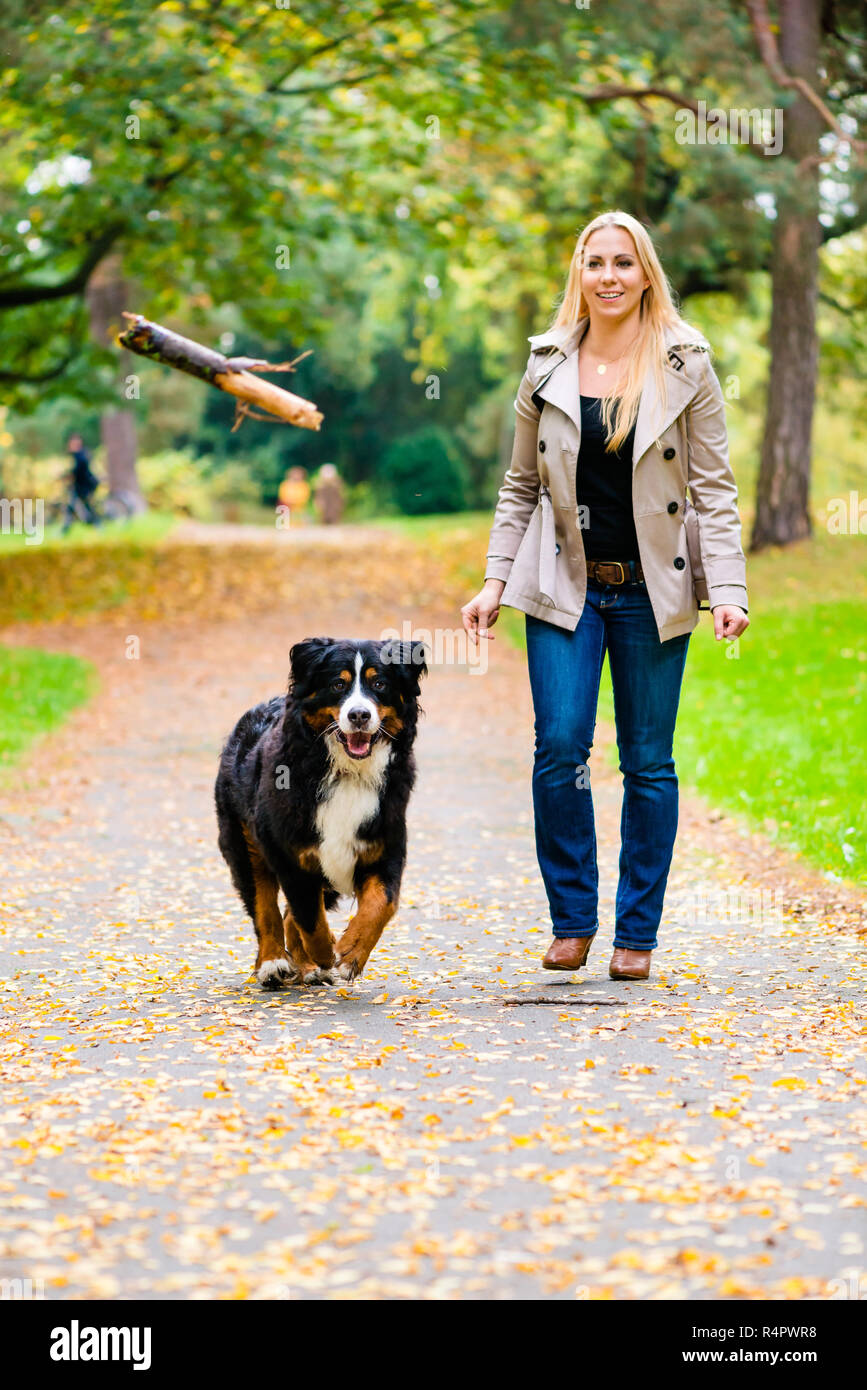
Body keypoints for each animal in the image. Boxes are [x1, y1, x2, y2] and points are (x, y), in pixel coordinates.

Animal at [216, 639, 427, 989]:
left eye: (380, 684)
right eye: (338, 684)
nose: (359, 714)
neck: (347, 771)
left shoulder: (384, 845)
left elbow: (382, 903)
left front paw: (352, 952)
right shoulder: (290, 854)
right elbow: (308, 918)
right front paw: (326, 952)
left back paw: (306, 967)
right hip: (245, 842)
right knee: (265, 906)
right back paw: (272, 963)